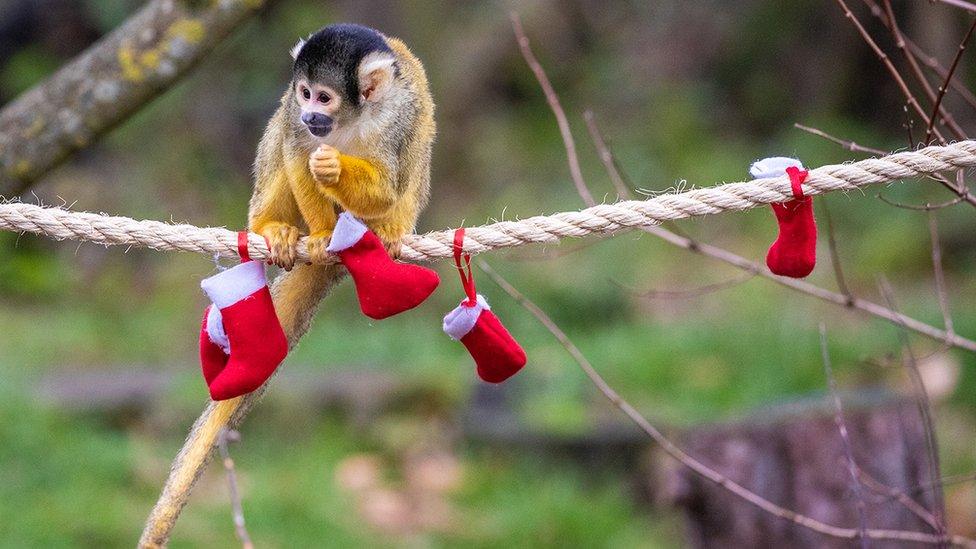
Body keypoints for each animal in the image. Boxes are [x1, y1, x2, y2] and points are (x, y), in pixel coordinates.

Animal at [250, 25, 436, 342]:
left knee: (415, 153)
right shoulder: (293, 110)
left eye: (324, 98)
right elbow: (296, 156)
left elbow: (386, 190)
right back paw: (268, 226)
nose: (309, 114)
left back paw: (389, 229)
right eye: (306, 93)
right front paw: (324, 233)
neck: (351, 119)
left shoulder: (396, 117)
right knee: (280, 132)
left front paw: (333, 167)